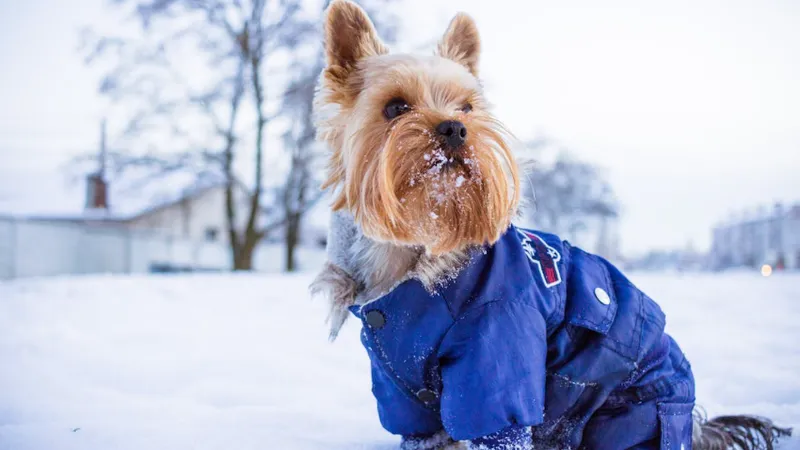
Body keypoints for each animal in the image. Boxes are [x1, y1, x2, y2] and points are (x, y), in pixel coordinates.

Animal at [310, 1, 792, 448]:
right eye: (395, 107)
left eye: (467, 107)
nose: (455, 128)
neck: (417, 252)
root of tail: (694, 424)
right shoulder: (400, 388)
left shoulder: (496, 353)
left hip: (632, 413)